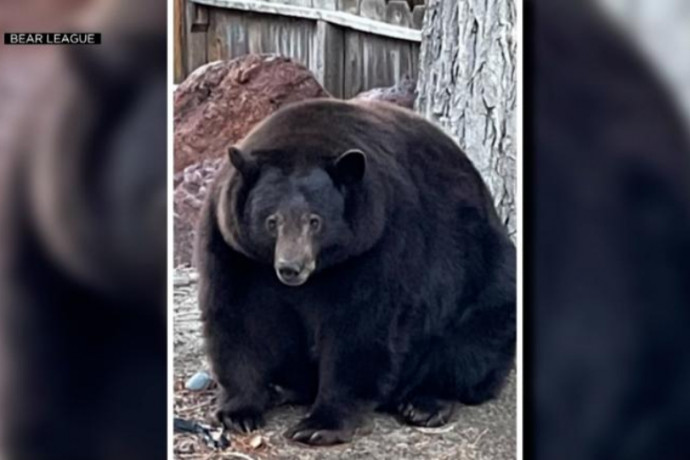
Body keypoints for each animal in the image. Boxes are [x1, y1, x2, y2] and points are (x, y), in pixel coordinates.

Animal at [196, 98, 512, 446]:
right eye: (272, 221)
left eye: (315, 221)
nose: (291, 268)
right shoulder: (235, 248)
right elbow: (240, 316)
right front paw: (239, 412)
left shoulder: (379, 242)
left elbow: (361, 327)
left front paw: (318, 424)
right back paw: (281, 387)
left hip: (481, 275)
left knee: (473, 341)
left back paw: (424, 403)